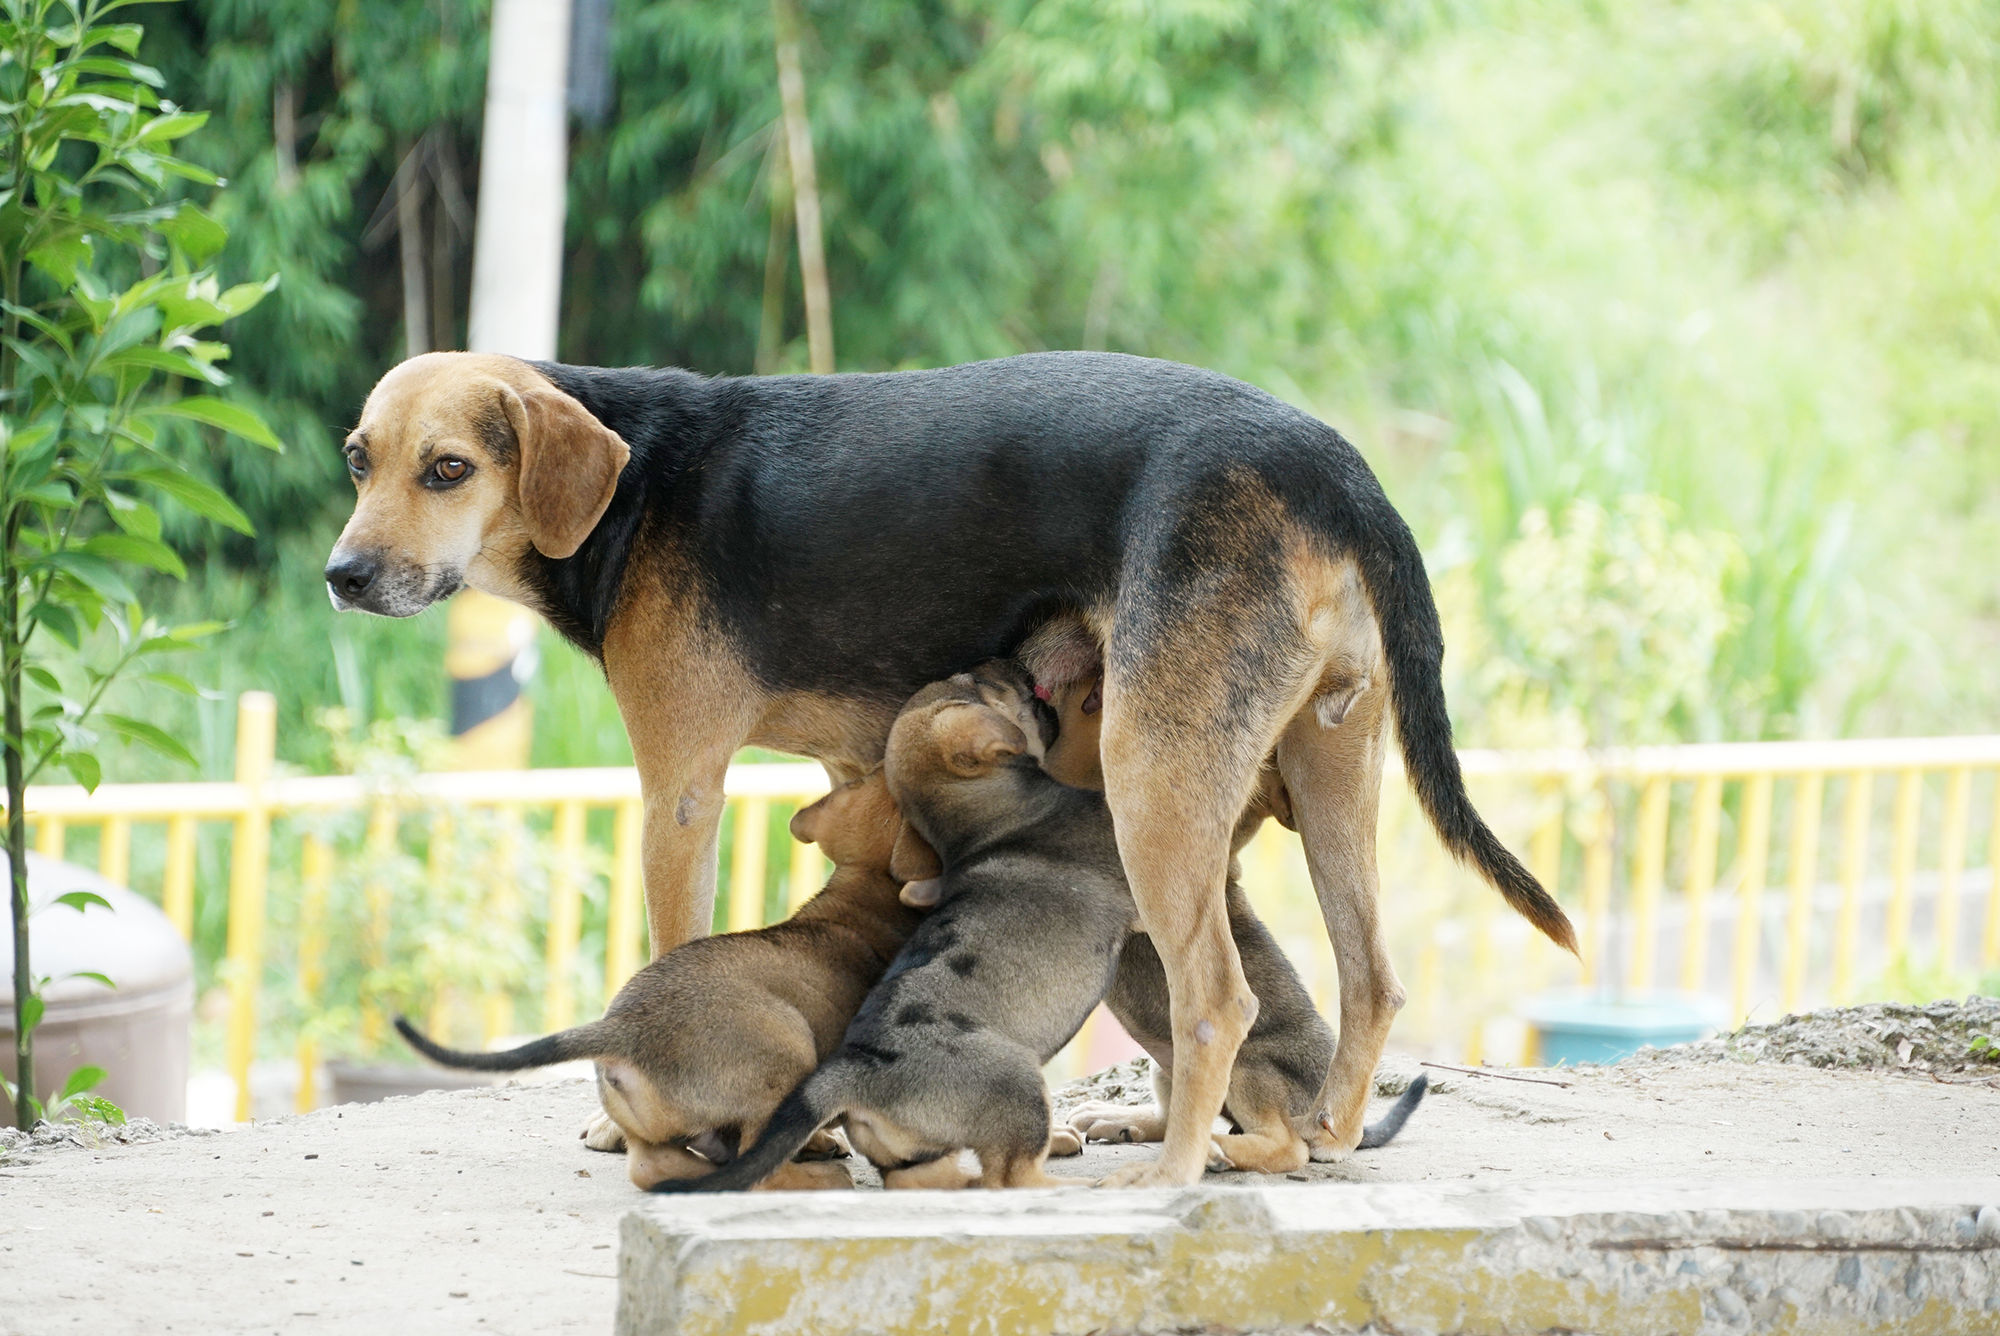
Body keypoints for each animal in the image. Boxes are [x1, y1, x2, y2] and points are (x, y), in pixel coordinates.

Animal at [392, 772, 920, 1192]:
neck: (861, 891)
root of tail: (623, 1029)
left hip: (651, 1129)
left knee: (653, 1168)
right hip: (788, 1057)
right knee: (759, 1169)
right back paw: (819, 1177)